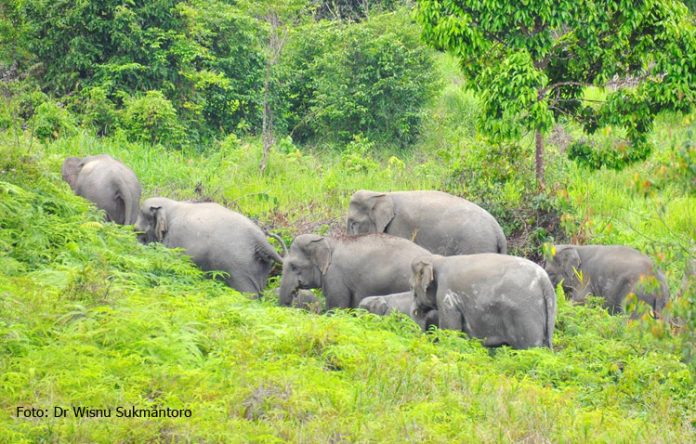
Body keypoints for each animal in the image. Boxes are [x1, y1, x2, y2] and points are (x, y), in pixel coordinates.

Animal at [414, 251, 556, 348]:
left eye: (413, 289)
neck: (438, 259)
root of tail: (544, 281)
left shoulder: (446, 297)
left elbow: (450, 331)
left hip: (524, 315)